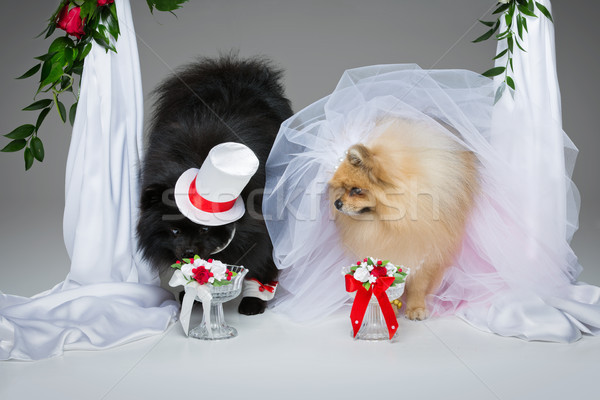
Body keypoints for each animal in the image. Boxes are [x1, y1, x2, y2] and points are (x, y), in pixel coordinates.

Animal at [138, 54, 292, 314]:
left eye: (204, 230)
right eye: (175, 231)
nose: (189, 251)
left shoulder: (265, 231)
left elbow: (263, 261)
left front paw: (254, 301)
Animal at [328, 118, 478, 318]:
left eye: (356, 190)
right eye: (342, 189)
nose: (337, 203)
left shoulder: (427, 249)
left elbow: (418, 285)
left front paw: (416, 308)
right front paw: (388, 307)